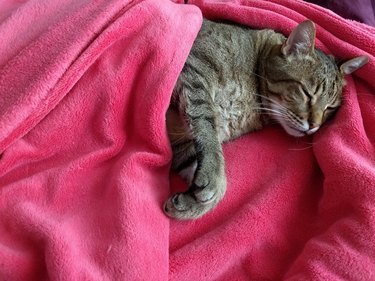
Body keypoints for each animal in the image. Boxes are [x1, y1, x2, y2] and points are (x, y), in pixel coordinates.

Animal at [164, 20, 368, 221]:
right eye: (307, 93)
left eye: (330, 108)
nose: (314, 126)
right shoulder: (195, 70)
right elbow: (207, 130)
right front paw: (213, 176)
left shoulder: (182, 144)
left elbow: (206, 171)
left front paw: (191, 205)